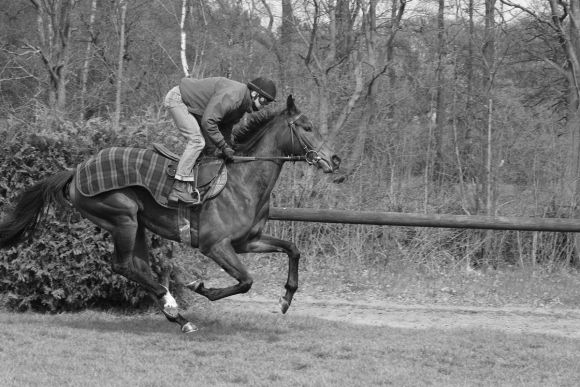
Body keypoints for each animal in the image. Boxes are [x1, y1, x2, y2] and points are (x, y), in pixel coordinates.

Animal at [0, 96, 342, 334]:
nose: (334, 159)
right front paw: (200, 287)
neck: (243, 181)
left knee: (137, 266)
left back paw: (175, 314)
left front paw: (286, 299)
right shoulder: (215, 245)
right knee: (122, 265)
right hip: (122, 216)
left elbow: (292, 250)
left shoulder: (247, 242)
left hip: (135, 224)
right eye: (307, 127)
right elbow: (245, 281)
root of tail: (77, 171)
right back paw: (173, 305)